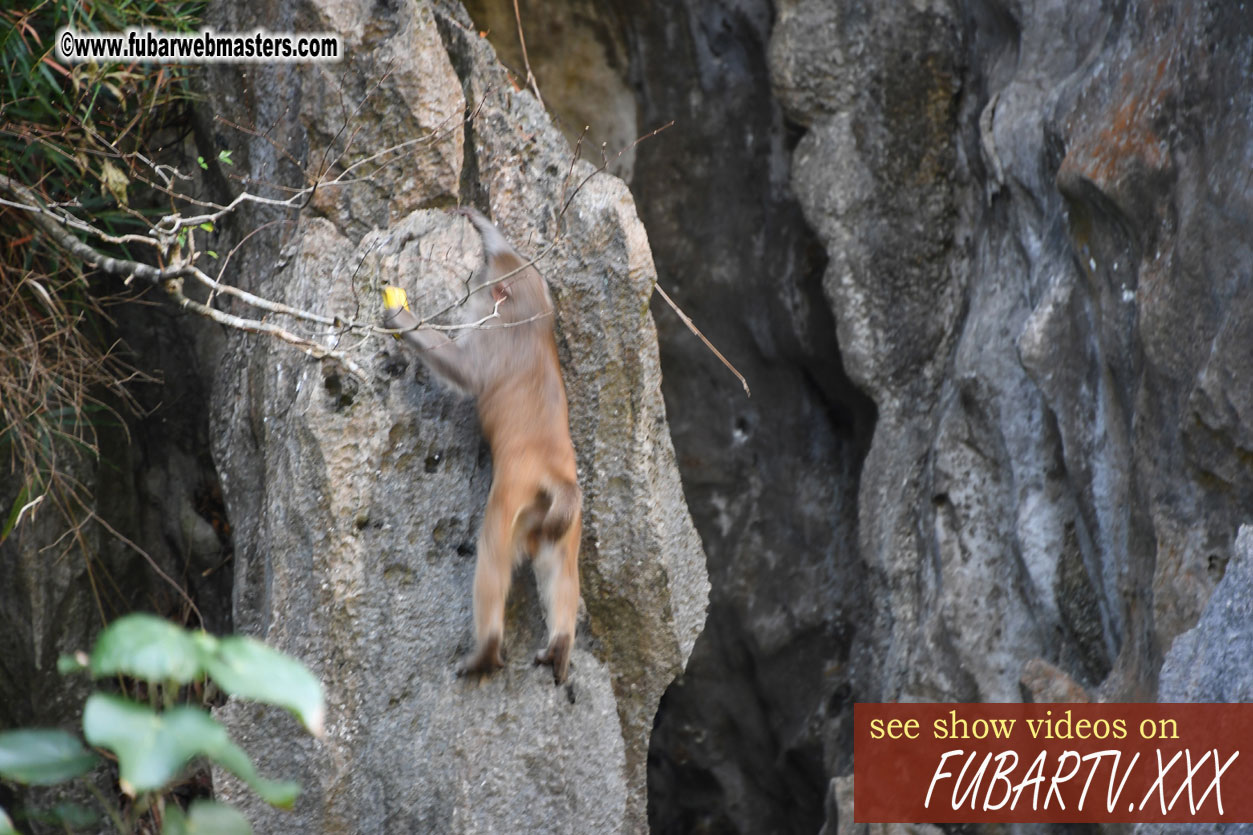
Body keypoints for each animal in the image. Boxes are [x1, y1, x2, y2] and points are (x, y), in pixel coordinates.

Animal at [380, 208, 581, 682]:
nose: (470, 292)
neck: (528, 319)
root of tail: (556, 478)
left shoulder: (490, 342)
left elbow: (461, 371)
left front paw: (400, 315)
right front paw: (481, 224)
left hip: (514, 500)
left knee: (492, 559)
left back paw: (485, 653)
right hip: (566, 526)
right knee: (561, 575)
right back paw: (560, 644)